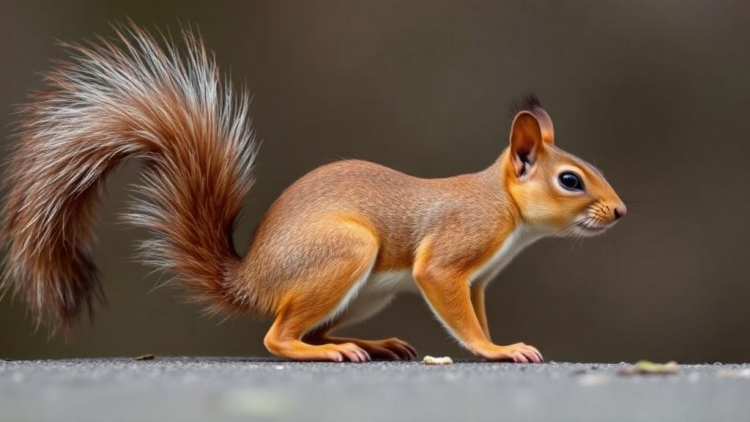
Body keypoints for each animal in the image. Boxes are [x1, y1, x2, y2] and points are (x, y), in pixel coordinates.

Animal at [1, 24, 626, 363]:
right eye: (571, 180)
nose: (619, 212)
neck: (505, 210)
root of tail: (251, 279)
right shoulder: (452, 255)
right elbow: (457, 309)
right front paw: (498, 350)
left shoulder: (478, 280)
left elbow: (475, 313)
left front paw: (499, 343)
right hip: (344, 253)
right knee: (281, 337)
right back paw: (329, 350)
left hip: (361, 289)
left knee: (311, 325)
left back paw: (370, 344)